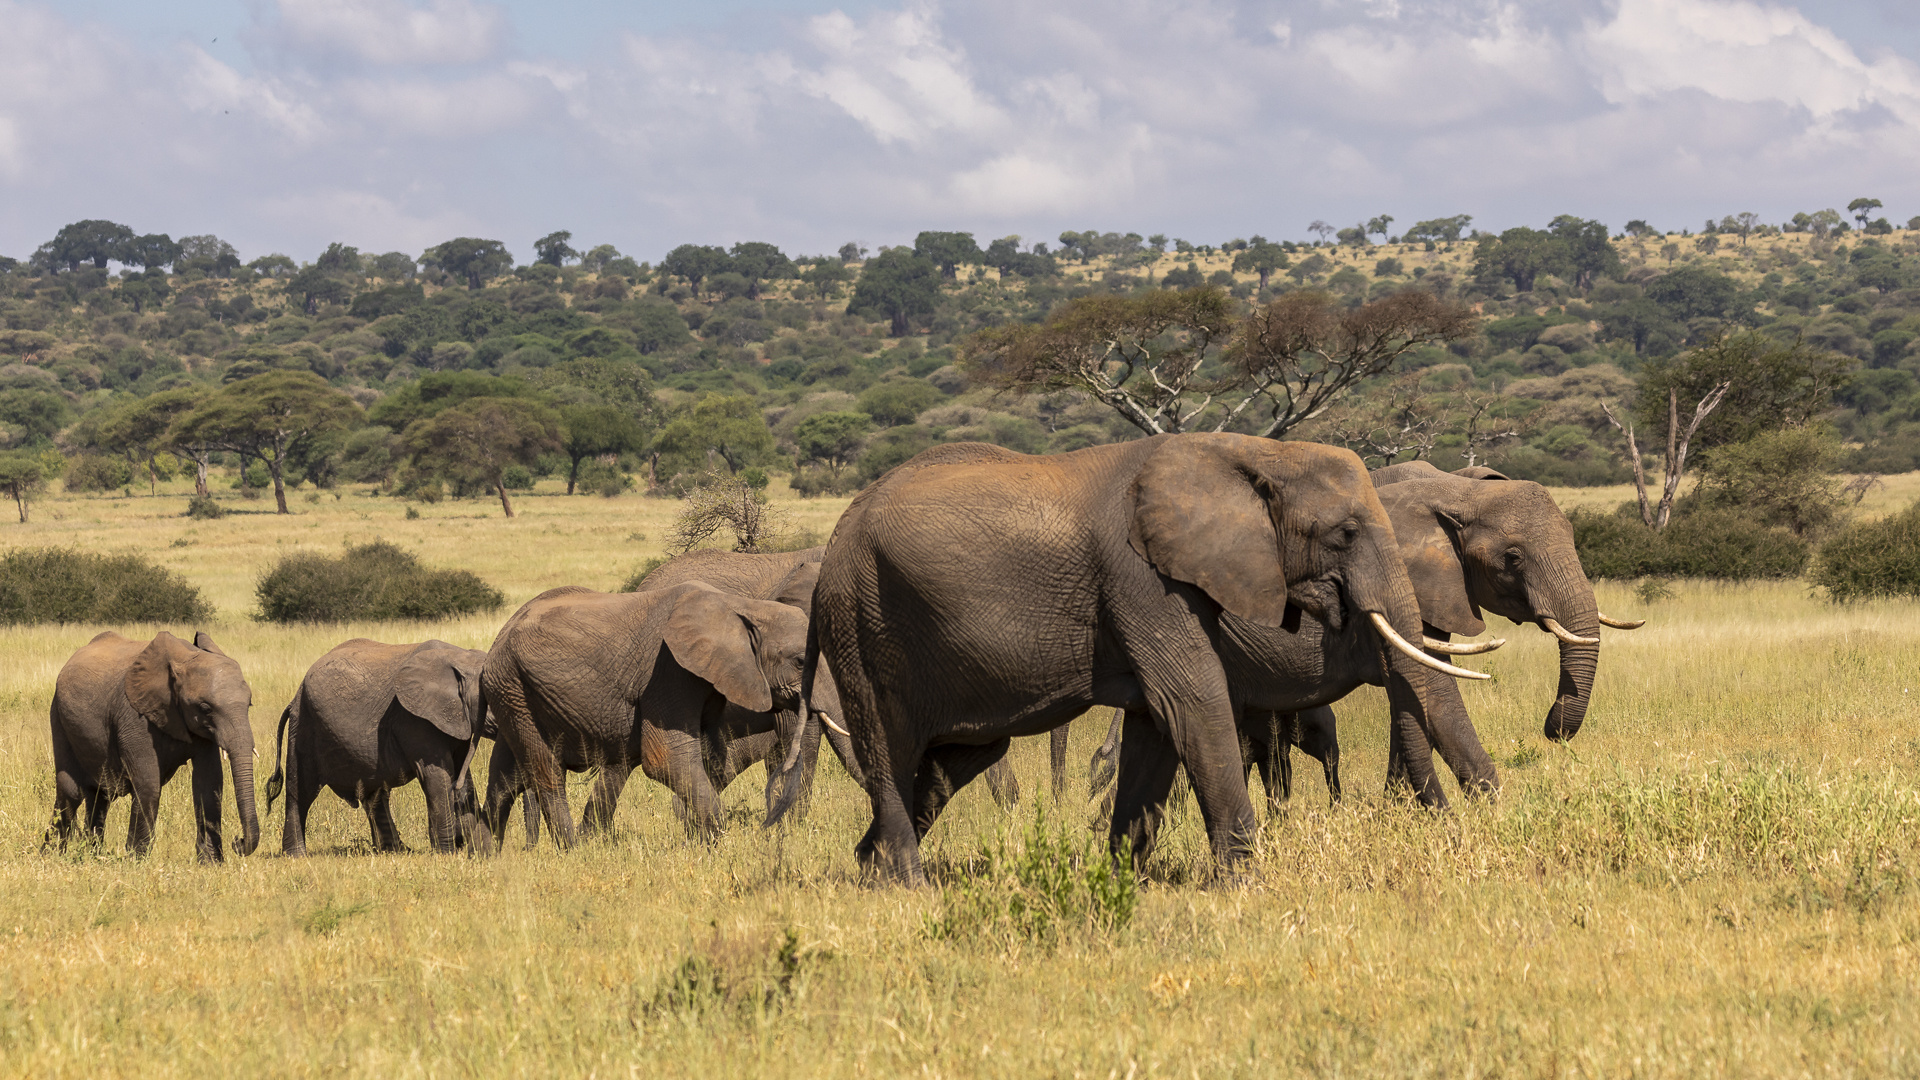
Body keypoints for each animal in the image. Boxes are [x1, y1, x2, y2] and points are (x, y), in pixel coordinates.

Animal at [43, 626, 261, 860]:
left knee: (100, 794)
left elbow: (209, 784)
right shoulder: (134, 716)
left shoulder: (203, 731)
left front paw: (211, 863)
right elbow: (148, 784)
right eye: (205, 708)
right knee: (70, 791)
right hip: (58, 715)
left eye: (249, 704)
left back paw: (92, 855)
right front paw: (136, 861)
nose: (238, 841)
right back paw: (52, 855)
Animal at [266, 634, 499, 853]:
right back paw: (296, 855)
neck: (461, 657)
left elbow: (461, 774)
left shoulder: (457, 721)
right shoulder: (413, 719)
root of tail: (294, 697)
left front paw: (470, 847)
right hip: (304, 725)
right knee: (300, 791)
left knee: (374, 793)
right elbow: (436, 775)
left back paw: (396, 850)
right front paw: (447, 852)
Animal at [483, 576, 814, 845]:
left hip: (515, 695)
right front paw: (714, 846)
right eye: (799, 661)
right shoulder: (669, 671)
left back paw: (487, 853)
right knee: (547, 776)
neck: (742, 606)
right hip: (513, 688)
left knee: (508, 777)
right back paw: (573, 850)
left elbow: (714, 756)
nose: (774, 826)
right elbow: (665, 759)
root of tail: (501, 633)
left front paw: (695, 838)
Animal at [787, 430, 1489, 883]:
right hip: (863, 622)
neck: (1247, 452)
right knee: (888, 745)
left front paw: (1124, 879)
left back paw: (867, 868)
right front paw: (1246, 885)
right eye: (1344, 533)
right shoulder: (1142, 579)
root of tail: (834, 542)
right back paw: (906, 883)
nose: (1485, 808)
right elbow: (1193, 701)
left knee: (949, 760)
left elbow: (1157, 724)